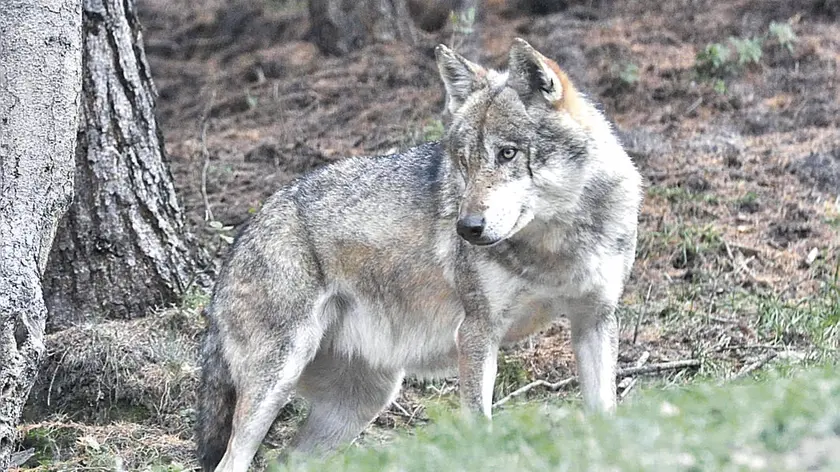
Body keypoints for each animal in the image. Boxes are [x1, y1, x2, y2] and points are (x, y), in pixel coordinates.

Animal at [195, 38, 643, 472]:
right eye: (464, 161)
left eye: (508, 153)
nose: (467, 228)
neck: (555, 244)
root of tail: (241, 236)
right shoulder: (477, 332)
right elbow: (481, 425)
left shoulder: (594, 319)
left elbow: (605, 416)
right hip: (279, 383)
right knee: (231, 461)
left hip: (362, 401)